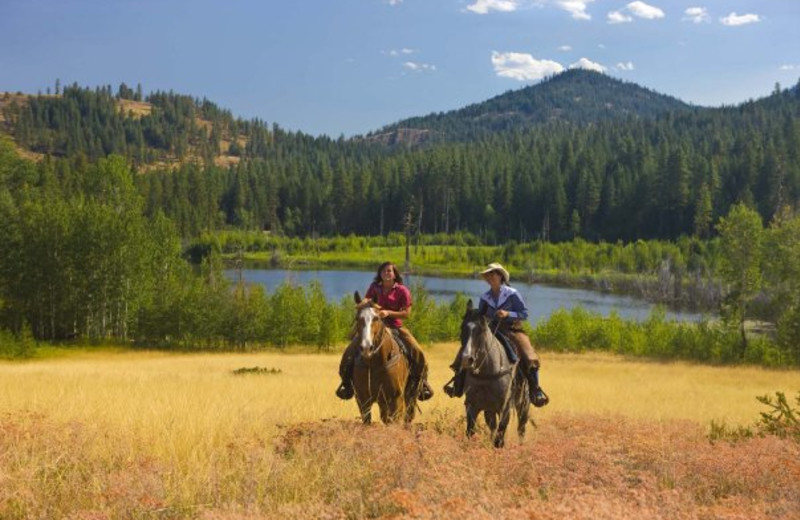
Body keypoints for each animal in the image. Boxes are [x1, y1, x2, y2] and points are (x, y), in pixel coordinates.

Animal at [354, 290, 422, 424]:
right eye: (357, 318)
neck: (375, 364)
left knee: (407, 415)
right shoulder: (363, 400)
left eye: (376, 318)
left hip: (408, 397)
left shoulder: (395, 399)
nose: (366, 347)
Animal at [460, 298, 528, 448]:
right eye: (462, 328)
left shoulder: (504, 409)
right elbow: (470, 432)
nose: (466, 359)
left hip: (523, 404)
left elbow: (499, 438)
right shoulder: (472, 407)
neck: (487, 373)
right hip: (489, 409)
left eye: (481, 329)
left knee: (521, 427)